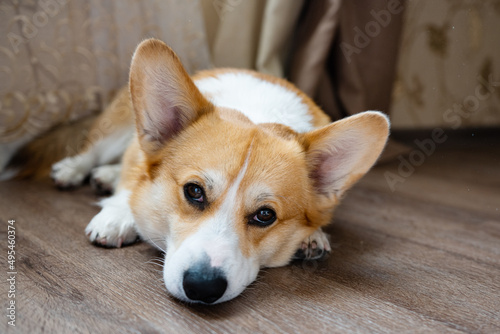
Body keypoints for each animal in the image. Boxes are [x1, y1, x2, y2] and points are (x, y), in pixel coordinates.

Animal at [48, 38, 388, 302]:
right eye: (194, 191)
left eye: (265, 215)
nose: (202, 287)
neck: (256, 109)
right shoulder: (138, 151)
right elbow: (133, 178)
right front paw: (119, 215)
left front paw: (312, 236)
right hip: (117, 129)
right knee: (93, 152)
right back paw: (75, 170)